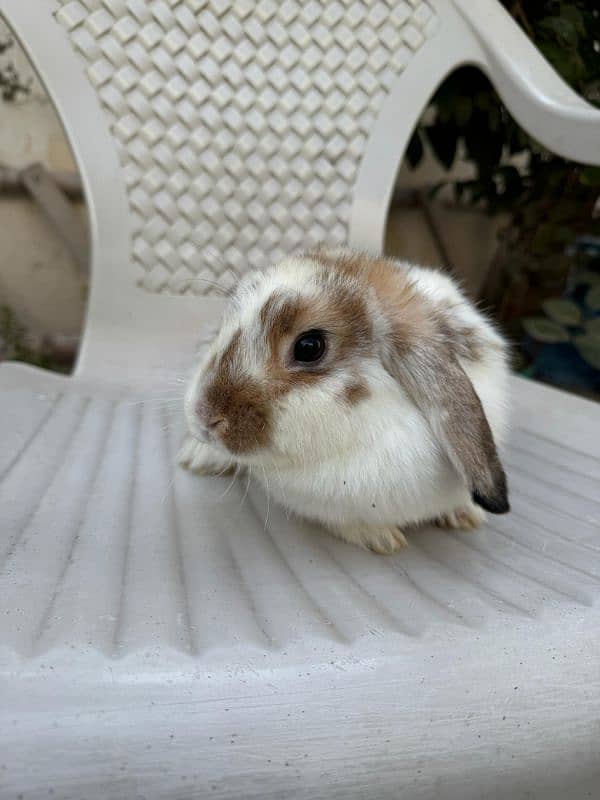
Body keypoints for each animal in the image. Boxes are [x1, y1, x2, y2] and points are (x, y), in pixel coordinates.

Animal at [180, 250, 508, 556]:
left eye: (309, 347)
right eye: (226, 325)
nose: (205, 418)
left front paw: (467, 515)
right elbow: (349, 523)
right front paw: (382, 539)